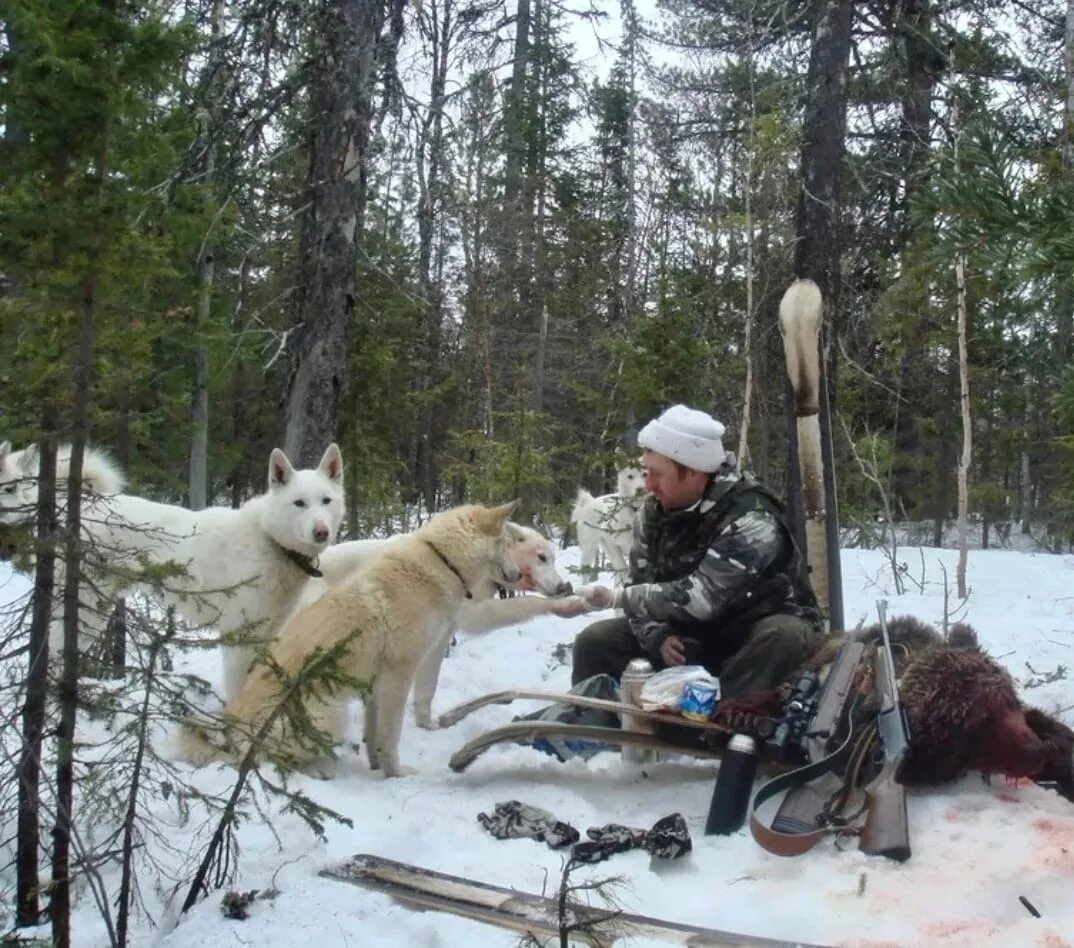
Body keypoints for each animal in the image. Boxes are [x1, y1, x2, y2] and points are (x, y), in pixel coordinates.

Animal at [0, 440, 343, 695]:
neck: (269, 539)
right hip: (85, 609)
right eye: (299, 503)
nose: (321, 532)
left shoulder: (267, 633)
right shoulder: (237, 638)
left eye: (326, 501)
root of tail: (83, 505)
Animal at [185, 500, 528, 773]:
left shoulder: (375, 685)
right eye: (506, 544)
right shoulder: (398, 676)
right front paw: (395, 774)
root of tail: (231, 734)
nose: (518, 575)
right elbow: (390, 737)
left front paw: (376, 769)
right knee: (267, 760)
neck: (442, 560)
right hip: (331, 715)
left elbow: (374, 737)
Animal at [294, 519, 592, 725]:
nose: (563, 586)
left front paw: (426, 722)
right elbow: (511, 608)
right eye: (541, 557)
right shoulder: (467, 609)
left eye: (552, 558)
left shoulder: (440, 631)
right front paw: (567, 606)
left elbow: (429, 680)